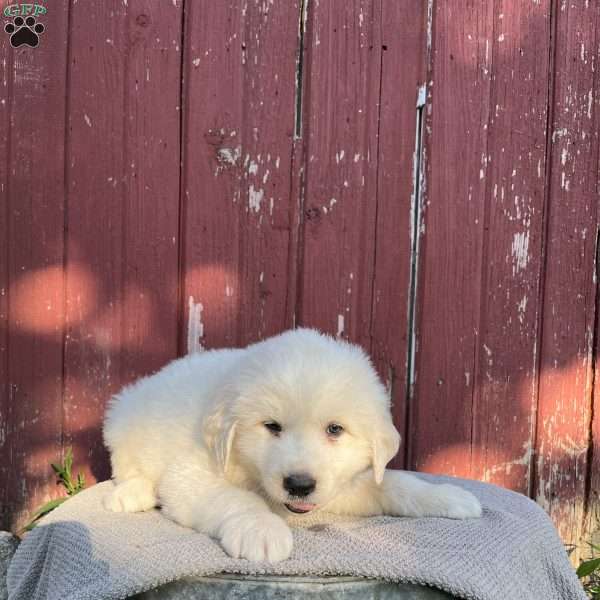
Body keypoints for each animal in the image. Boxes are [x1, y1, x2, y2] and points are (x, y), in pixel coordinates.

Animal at [102, 326, 478, 560]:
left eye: (335, 429)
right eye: (272, 426)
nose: (299, 485)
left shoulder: (345, 486)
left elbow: (395, 484)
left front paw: (447, 496)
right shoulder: (192, 474)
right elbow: (236, 498)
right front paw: (261, 530)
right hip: (121, 418)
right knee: (126, 467)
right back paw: (130, 493)